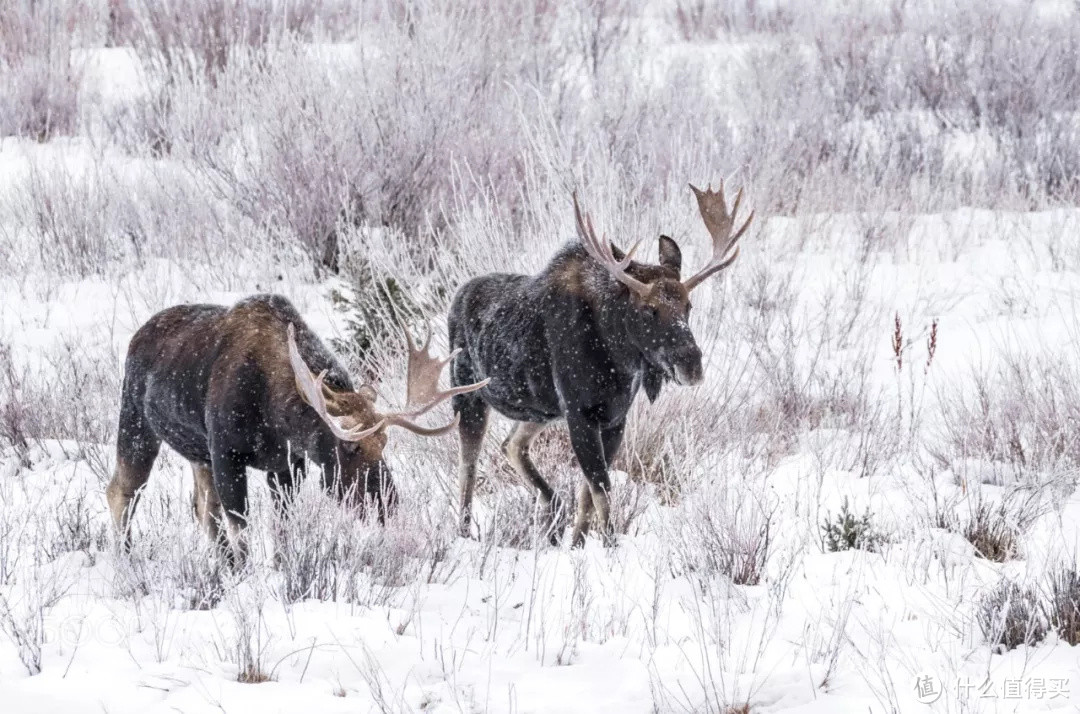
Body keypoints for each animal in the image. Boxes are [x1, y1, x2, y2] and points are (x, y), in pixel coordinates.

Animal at [107, 291, 488, 561]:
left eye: (384, 442)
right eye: (350, 446)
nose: (388, 504)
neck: (275, 416)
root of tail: (137, 336)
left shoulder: (288, 464)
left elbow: (282, 528)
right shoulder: (227, 453)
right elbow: (241, 526)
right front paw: (244, 574)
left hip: (197, 453)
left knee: (202, 508)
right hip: (136, 421)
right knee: (121, 492)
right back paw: (128, 558)